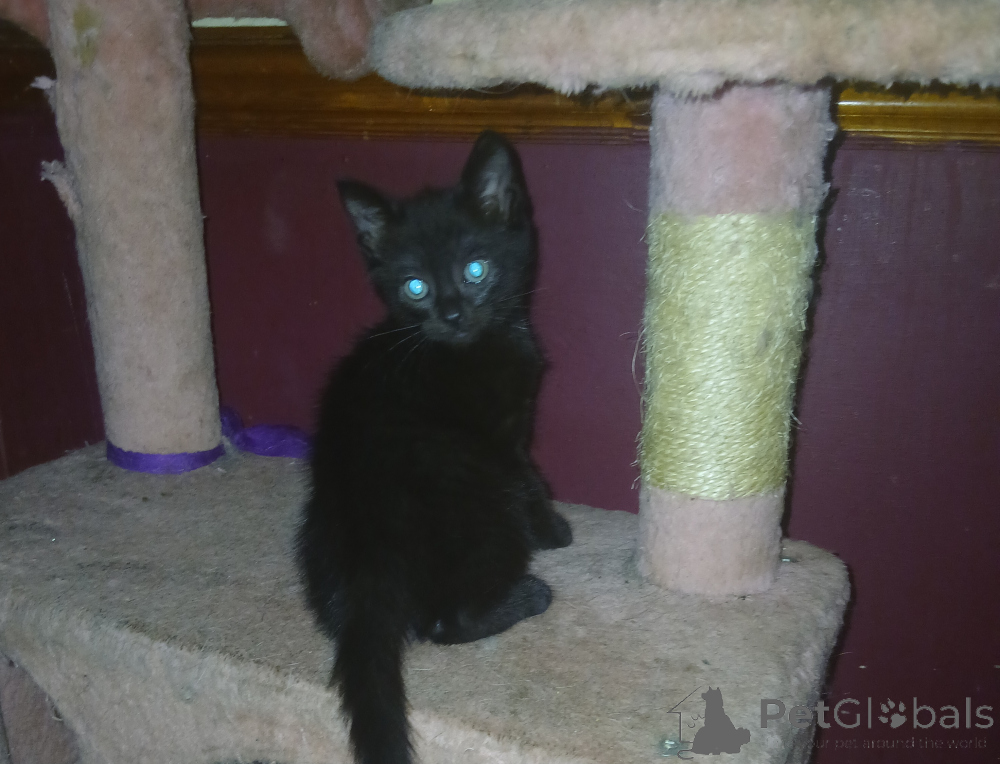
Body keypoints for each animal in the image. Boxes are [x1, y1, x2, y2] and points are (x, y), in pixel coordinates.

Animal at [297, 131, 573, 764]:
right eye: (414, 286)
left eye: (476, 269)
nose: (450, 312)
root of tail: (368, 554)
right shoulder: (502, 439)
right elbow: (530, 479)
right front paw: (553, 530)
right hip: (485, 514)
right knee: (444, 621)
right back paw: (528, 596)